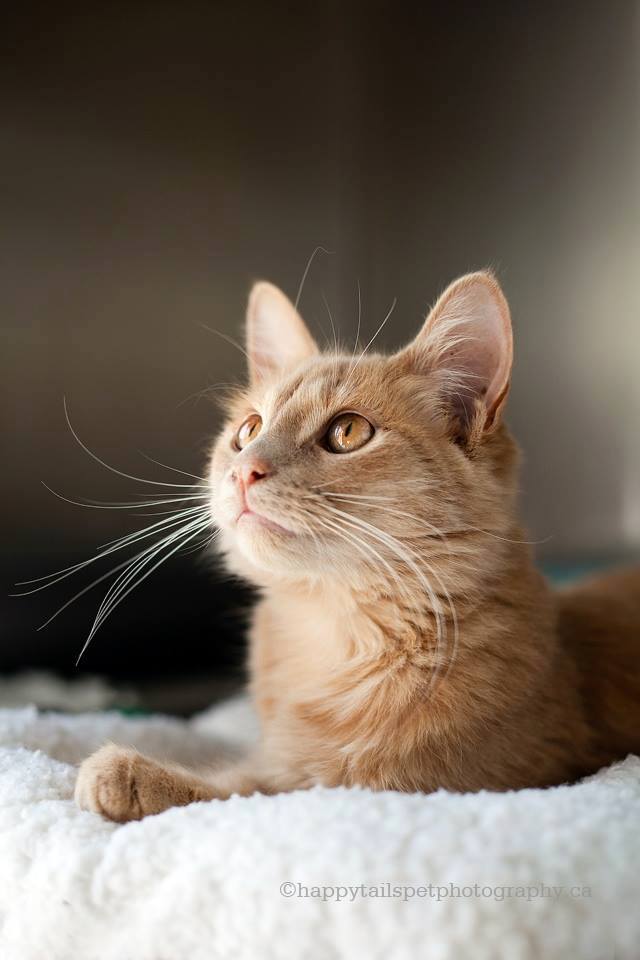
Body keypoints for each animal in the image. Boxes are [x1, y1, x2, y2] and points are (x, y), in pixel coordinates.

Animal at [72, 272, 636, 824]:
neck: (334, 631)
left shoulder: (418, 782)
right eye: (249, 430)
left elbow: (256, 790)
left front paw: (133, 775)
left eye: (347, 432)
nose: (244, 471)